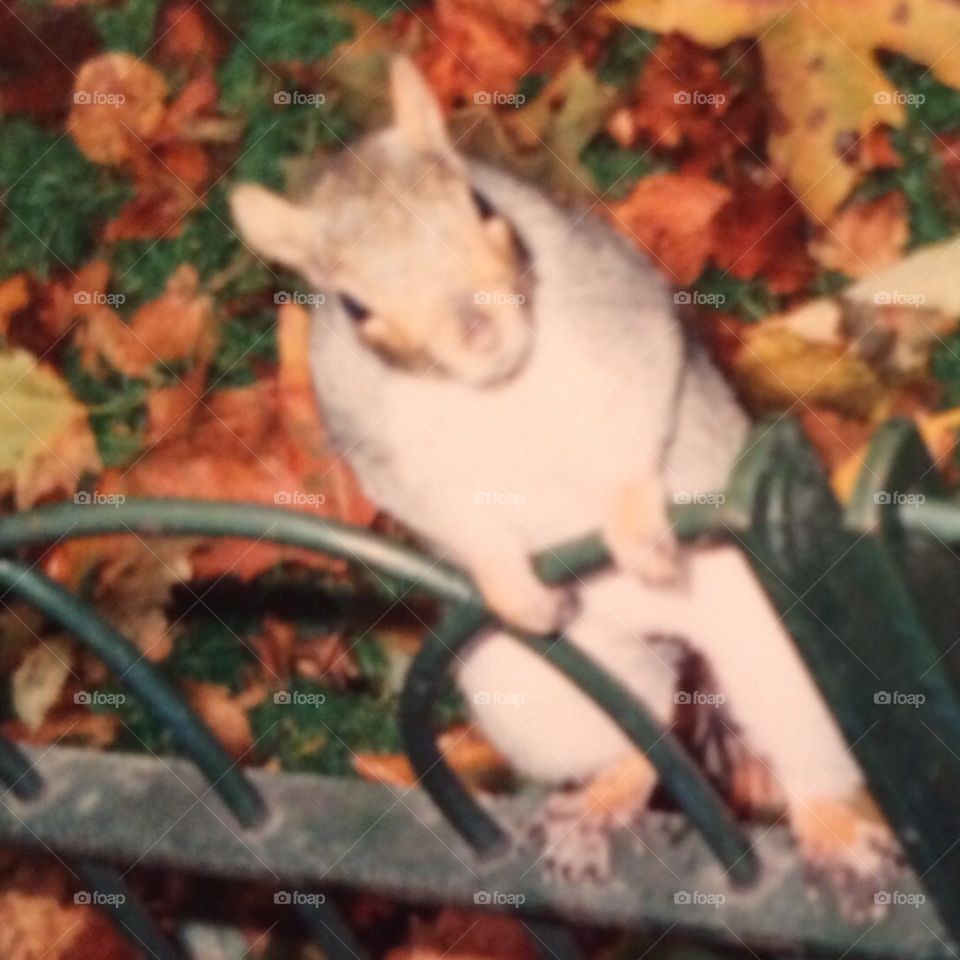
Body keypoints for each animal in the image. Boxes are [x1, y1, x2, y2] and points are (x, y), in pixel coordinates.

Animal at [231, 58, 898, 897]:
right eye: (351, 304)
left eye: (481, 206)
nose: (477, 329)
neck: (497, 386)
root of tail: (665, 634)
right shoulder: (374, 440)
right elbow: (443, 512)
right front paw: (506, 577)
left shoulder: (625, 321)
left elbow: (640, 417)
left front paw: (637, 527)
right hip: (541, 682)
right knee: (645, 729)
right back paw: (606, 795)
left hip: (779, 635)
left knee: (794, 729)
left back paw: (831, 828)